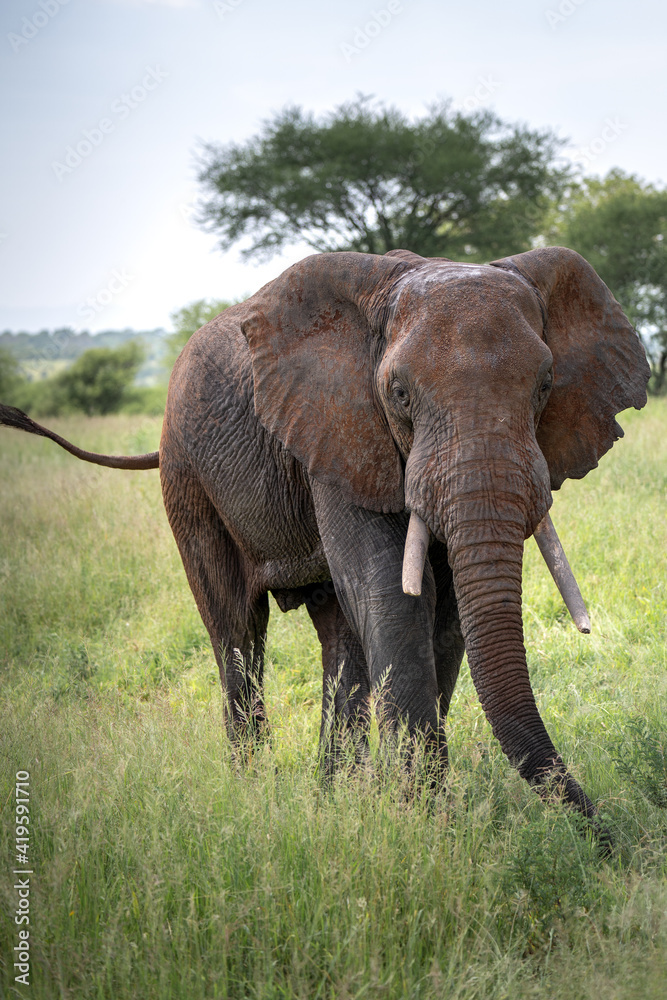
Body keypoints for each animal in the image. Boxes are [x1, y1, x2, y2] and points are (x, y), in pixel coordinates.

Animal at [0, 245, 650, 831]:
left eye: (545, 385)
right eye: (399, 394)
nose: (606, 836)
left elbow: (446, 616)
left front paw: (411, 807)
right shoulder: (339, 429)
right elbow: (393, 595)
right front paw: (427, 821)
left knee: (338, 634)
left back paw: (332, 797)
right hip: (188, 476)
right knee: (237, 629)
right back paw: (253, 793)